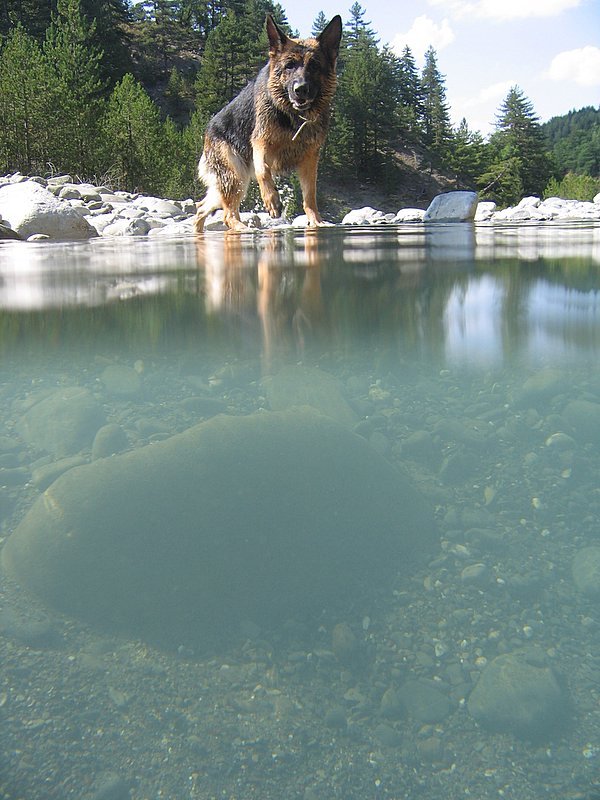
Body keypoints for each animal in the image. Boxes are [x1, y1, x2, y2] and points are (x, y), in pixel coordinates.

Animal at [193, 13, 340, 231]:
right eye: (289, 66)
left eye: (314, 66)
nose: (301, 89)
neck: (293, 117)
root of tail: (208, 129)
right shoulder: (260, 143)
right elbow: (263, 170)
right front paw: (272, 200)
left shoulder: (309, 159)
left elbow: (310, 196)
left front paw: (316, 222)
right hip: (236, 177)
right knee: (227, 214)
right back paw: (243, 227)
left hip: (232, 182)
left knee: (202, 207)